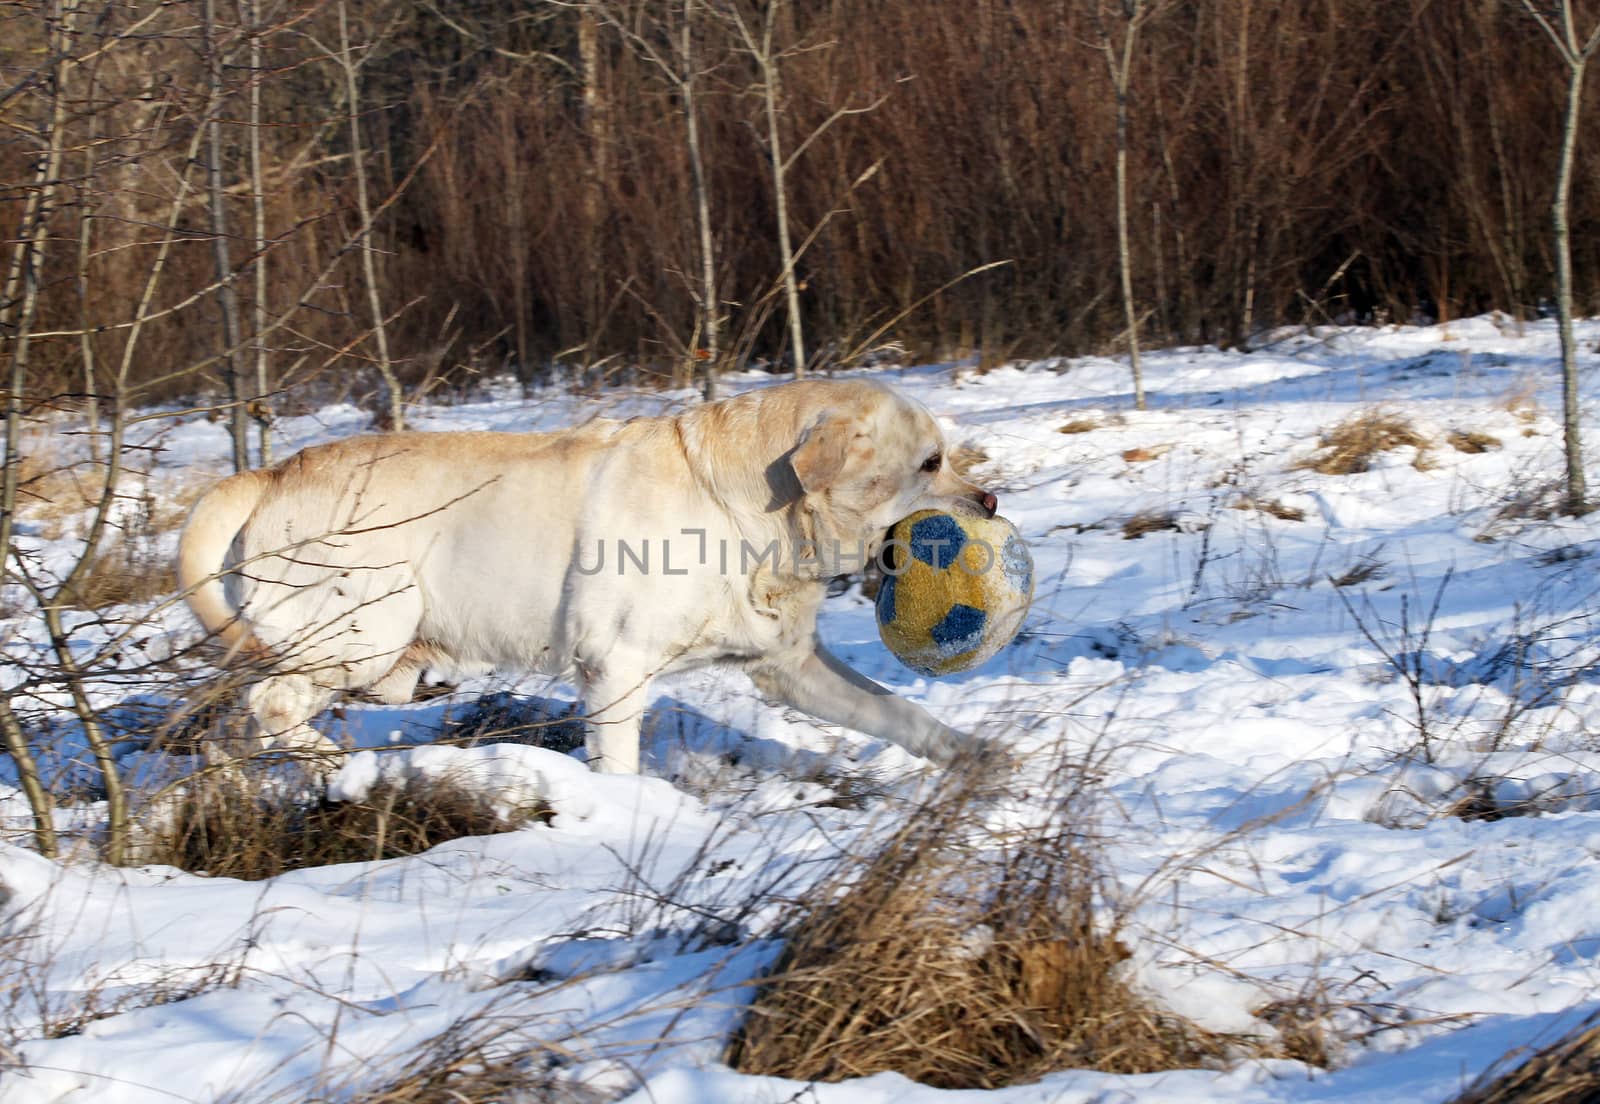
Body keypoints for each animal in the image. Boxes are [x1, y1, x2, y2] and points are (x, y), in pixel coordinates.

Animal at [178, 377, 998, 774]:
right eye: (929, 463)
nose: (991, 501)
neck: (755, 513)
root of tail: (268, 472)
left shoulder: (786, 665)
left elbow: (899, 713)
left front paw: (975, 760)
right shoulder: (616, 668)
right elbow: (619, 764)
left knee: (238, 725)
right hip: (365, 631)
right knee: (269, 703)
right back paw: (339, 761)